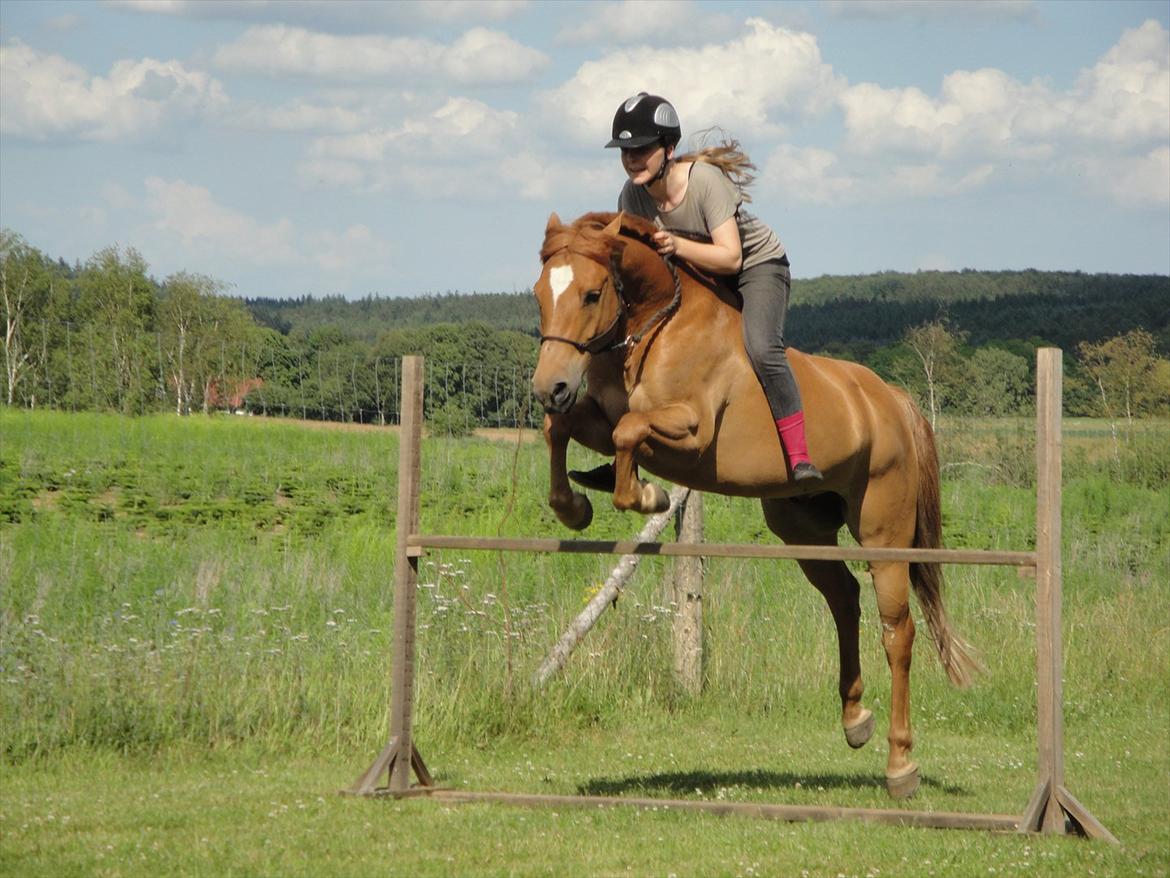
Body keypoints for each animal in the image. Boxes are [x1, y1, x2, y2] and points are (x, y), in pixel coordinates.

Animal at [530, 210, 980, 799]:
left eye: (591, 293)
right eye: (539, 294)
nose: (550, 386)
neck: (656, 326)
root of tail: (895, 402)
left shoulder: (690, 433)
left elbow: (630, 431)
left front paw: (647, 494)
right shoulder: (598, 420)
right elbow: (561, 428)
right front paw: (574, 505)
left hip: (884, 528)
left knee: (897, 630)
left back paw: (900, 765)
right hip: (801, 526)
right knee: (844, 598)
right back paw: (855, 718)